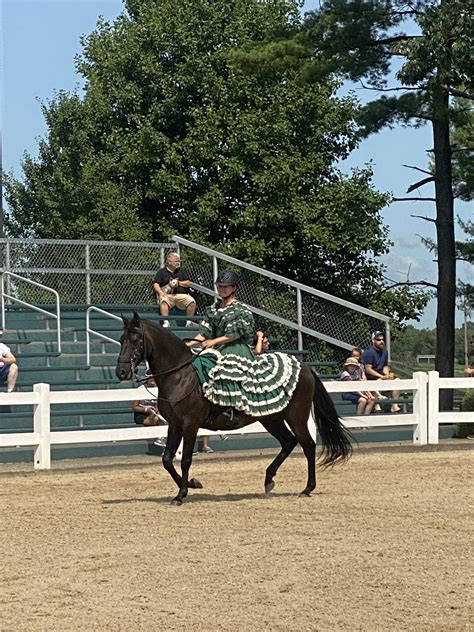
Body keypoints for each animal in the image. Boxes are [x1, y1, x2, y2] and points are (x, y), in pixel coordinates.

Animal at [115, 314, 352, 506]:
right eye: (121, 340)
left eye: (135, 340)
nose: (121, 372)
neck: (180, 375)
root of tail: (305, 367)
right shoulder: (174, 424)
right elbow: (166, 459)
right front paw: (191, 484)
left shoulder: (190, 425)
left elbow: (185, 460)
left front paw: (181, 495)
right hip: (271, 418)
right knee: (288, 442)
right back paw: (269, 480)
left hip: (296, 417)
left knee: (308, 446)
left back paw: (307, 488)